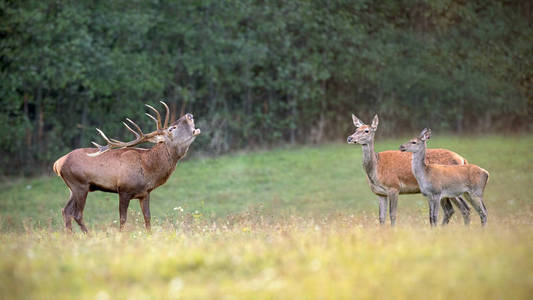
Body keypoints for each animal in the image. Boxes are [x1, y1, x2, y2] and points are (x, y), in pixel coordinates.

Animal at [53, 102, 201, 233]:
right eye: (172, 128)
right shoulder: (124, 189)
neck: (148, 168)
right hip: (80, 185)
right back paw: (87, 236)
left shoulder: (145, 193)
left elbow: (147, 218)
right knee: (77, 214)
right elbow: (123, 219)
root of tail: (57, 163)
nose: (189, 115)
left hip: (73, 188)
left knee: (66, 211)